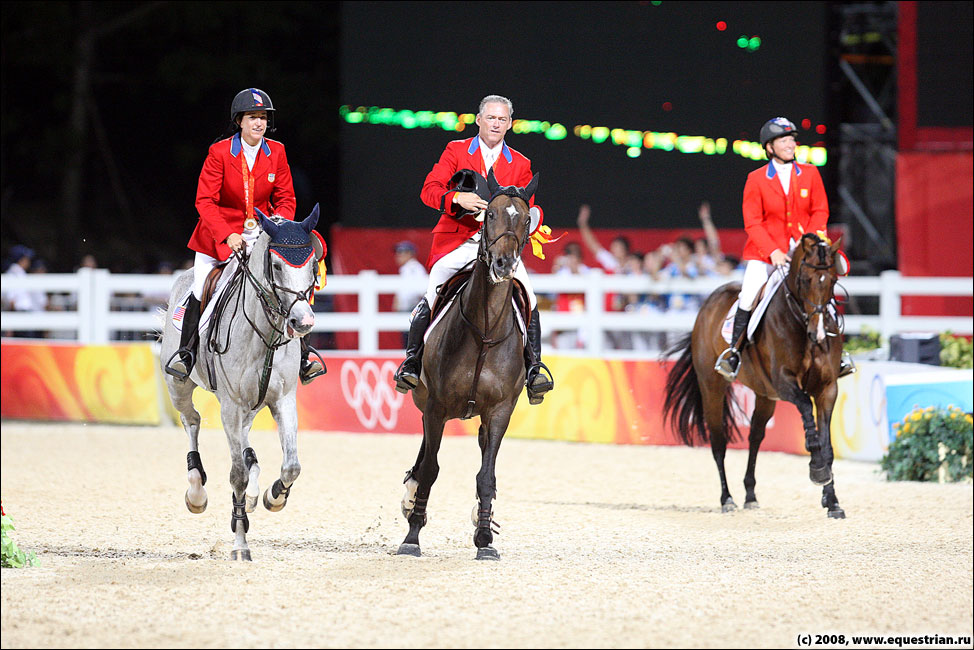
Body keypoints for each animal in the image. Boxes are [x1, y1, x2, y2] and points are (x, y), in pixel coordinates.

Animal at [160, 206, 324, 556]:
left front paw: (274, 496)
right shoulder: (231, 406)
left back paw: (253, 488)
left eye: (312, 266)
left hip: (250, 406)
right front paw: (240, 543)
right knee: (191, 420)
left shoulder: (283, 399)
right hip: (179, 387)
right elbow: (235, 475)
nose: (303, 322)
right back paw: (197, 491)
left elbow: (291, 465)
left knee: (245, 444)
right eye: (276, 265)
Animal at [398, 171, 540, 556]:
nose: (504, 265)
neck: (485, 329)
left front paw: (485, 539)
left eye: (525, 219)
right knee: (424, 456)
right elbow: (430, 470)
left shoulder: (500, 411)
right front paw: (412, 536)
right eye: (488, 214)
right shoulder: (436, 407)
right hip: (427, 403)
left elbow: (486, 476)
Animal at [664, 232, 848, 516]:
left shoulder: (828, 387)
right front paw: (817, 470)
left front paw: (833, 501)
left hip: (765, 395)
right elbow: (807, 412)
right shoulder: (785, 383)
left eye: (833, 280)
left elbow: (827, 445)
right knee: (718, 441)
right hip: (712, 388)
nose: (818, 334)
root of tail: (708, 302)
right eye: (805, 280)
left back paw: (750, 495)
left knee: (755, 437)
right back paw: (727, 499)